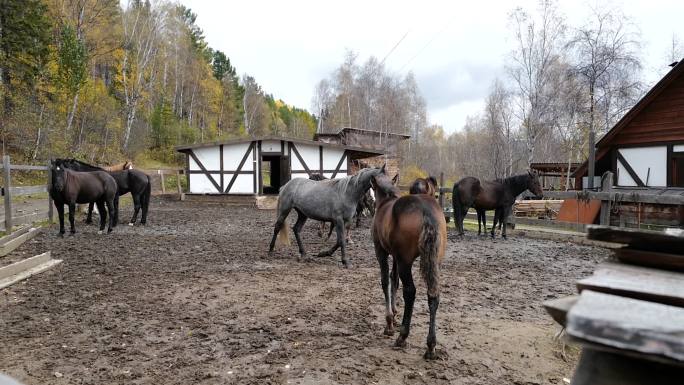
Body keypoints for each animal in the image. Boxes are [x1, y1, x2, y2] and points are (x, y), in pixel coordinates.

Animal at [372, 170, 446, 356]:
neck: (386, 203)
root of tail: (425, 211)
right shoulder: (395, 257)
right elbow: (394, 280)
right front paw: (394, 314)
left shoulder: (382, 252)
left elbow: (386, 281)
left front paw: (389, 323)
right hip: (434, 262)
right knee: (433, 295)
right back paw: (431, 345)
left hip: (405, 262)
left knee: (410, 292)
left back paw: (402, 337)